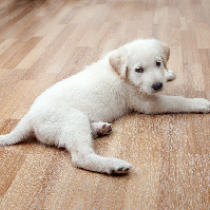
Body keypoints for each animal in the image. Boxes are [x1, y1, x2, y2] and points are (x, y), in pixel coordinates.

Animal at [0, 39, 210, 174]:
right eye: (139, 69)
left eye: (158, 63)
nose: (157, 86)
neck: (120, 73)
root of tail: (29, 117)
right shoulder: (146, 102)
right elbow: (177, 100)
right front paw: (199, 103)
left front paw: (168, 74)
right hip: (73, 119)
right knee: (81, 157)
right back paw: (114, 165)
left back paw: (99, 128)